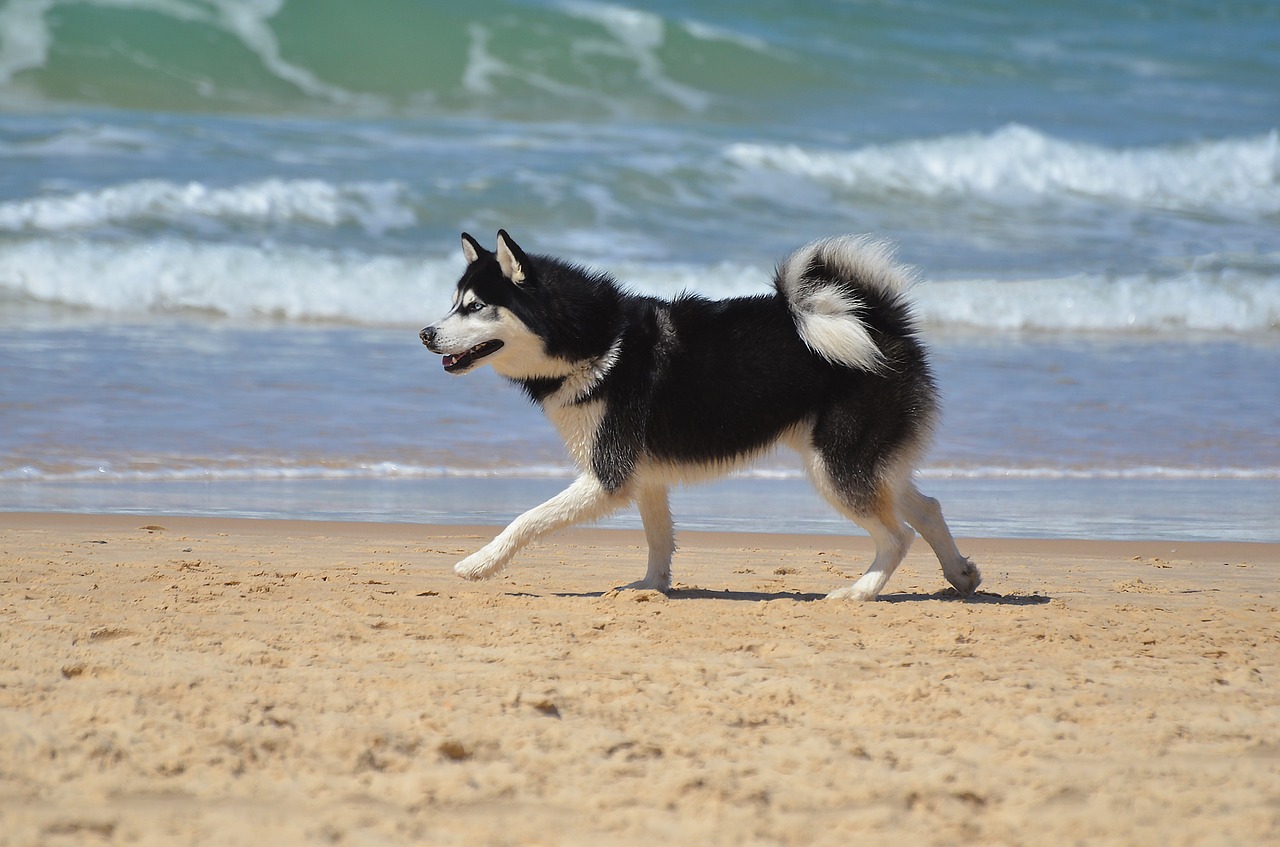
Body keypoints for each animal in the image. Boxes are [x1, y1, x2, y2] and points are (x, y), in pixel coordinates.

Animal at [419, 230, 977, 603]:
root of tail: (882, 323)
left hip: (834, 467)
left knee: (898, 535)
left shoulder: (608, 476)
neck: (597, 343)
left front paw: (478, 564)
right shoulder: (644, 475)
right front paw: (649, 587)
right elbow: (659, 538)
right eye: (454, 304)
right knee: (926, 507)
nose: (425, 333)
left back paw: (860, 591)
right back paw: (961, 574)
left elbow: (525, 520)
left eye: (475, 307)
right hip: (855, 461)